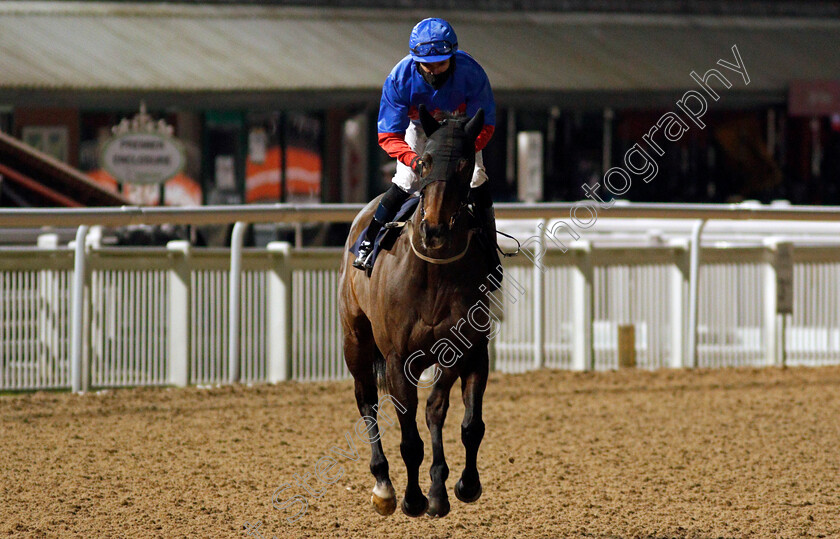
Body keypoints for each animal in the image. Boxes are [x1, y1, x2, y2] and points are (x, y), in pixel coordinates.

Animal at [336, 106, 492, 520]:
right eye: (425, 161)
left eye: (465, 163)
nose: (435, 228)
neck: (434, 272)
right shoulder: (396, 358)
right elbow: (410, 437)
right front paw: (412, 498)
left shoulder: (468, 350)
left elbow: (459, 419)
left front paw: (455, 487)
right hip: (356, 342)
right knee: (366, 400)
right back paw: (383, 486)